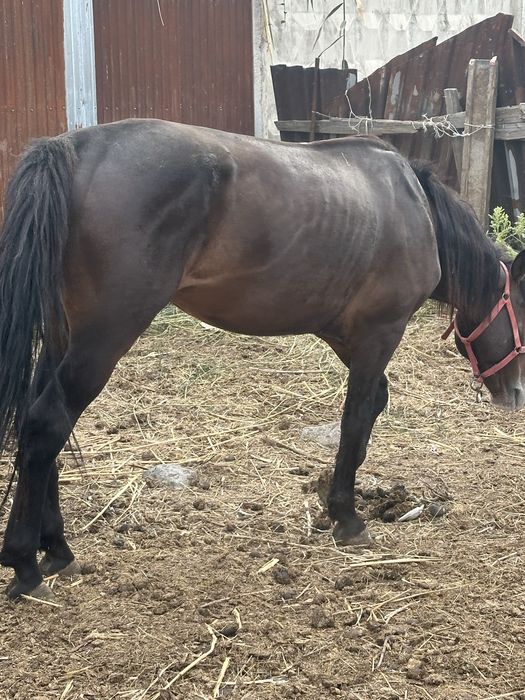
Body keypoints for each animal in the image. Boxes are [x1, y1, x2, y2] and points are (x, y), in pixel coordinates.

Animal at [1, 119, 524, 603]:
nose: (515, 394)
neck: (415, 208)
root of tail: (74, 149)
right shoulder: (380, 333)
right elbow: (356, 420)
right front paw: (347, 517)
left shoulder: (347, 337)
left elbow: (369, 411)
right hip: (105, 334)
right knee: (48, 422)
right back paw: (24, 564)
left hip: (64, 335)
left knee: (40, 423)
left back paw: (56, 549)